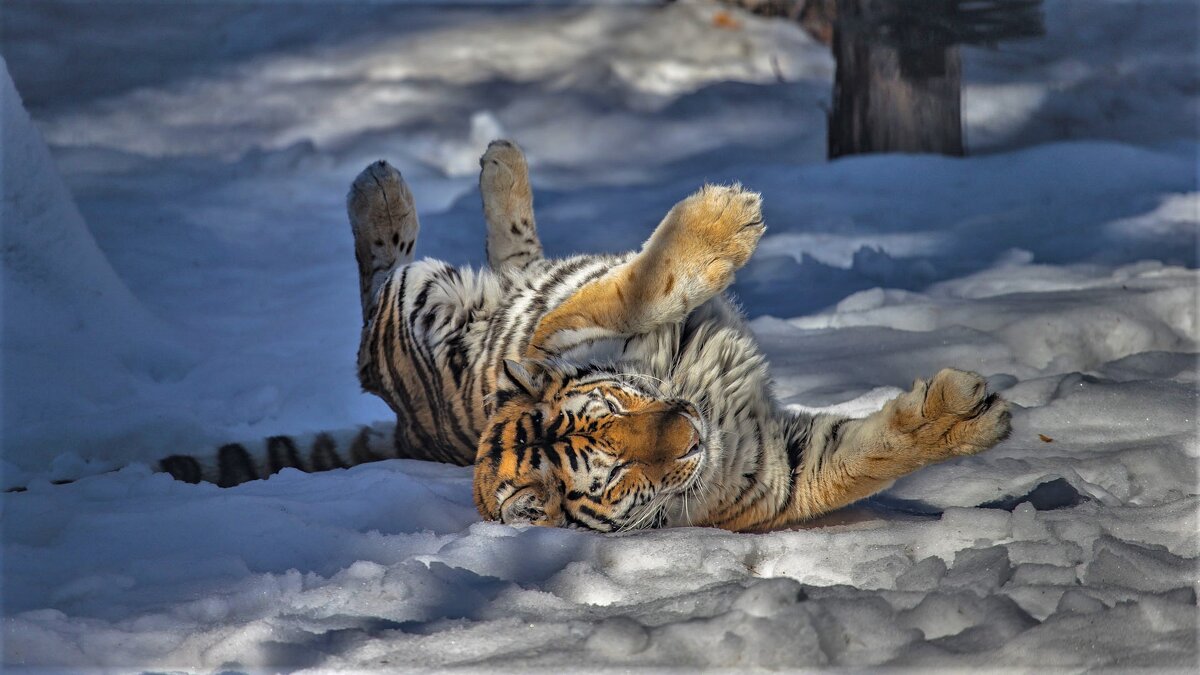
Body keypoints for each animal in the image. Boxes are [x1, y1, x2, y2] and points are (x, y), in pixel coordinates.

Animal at [150, 139, 1008, 530]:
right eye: (618, 471)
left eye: (618, 409)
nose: (690, 430)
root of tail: (415, 427)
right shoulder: (774, 479)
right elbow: (635, 287)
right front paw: (722, 228)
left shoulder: (548, 341)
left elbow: (622, 288)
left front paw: (961, 416)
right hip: (415, 313)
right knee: (375, 297)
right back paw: (381, 188)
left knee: (522, 260)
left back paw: (499, 161)